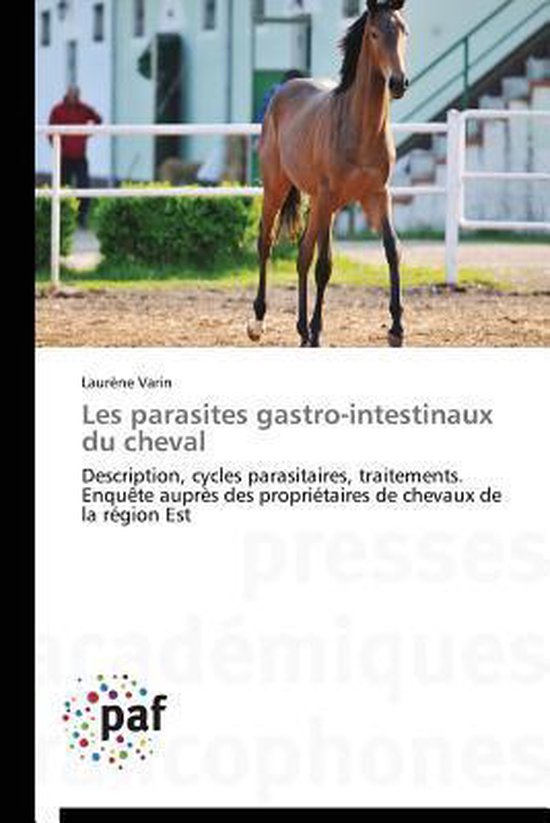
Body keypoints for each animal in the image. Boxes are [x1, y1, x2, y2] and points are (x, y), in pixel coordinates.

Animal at [247, 0, 410, 348]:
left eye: (404, 31)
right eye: (374, 34)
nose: (398, 83)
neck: (360, 128)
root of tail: (284, 90)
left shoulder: (378, 195)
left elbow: (392, 250)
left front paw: (396, 328)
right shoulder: (328, 196)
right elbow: (318, 264)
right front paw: (314, 330)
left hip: (324, 206)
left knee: (309, 256)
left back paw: (304, 329)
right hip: (279, 189)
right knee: (267, 242)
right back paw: (258, 322)